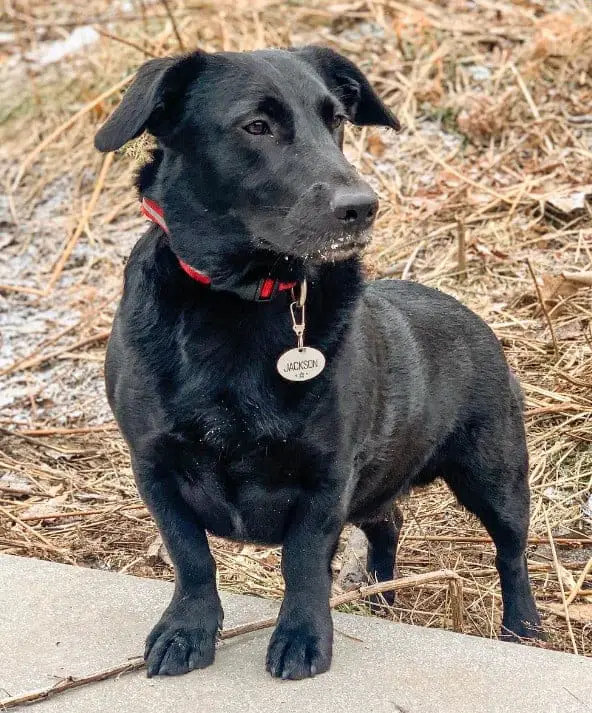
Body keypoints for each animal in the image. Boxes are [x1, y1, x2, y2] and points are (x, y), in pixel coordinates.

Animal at [96, 44, 540, 680]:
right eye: (257, 125)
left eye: (336, 122)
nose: (363, 206)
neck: (242, 300)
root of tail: (470, 315)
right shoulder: (154, 466)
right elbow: (192, 556)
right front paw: (187, 630)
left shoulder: (325, 478)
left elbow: (303, 565)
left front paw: (302, 638)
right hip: (384, 482)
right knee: (389, 525)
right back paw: (379, 593)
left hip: (495, 473)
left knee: (512, 552)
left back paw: (522, 625)